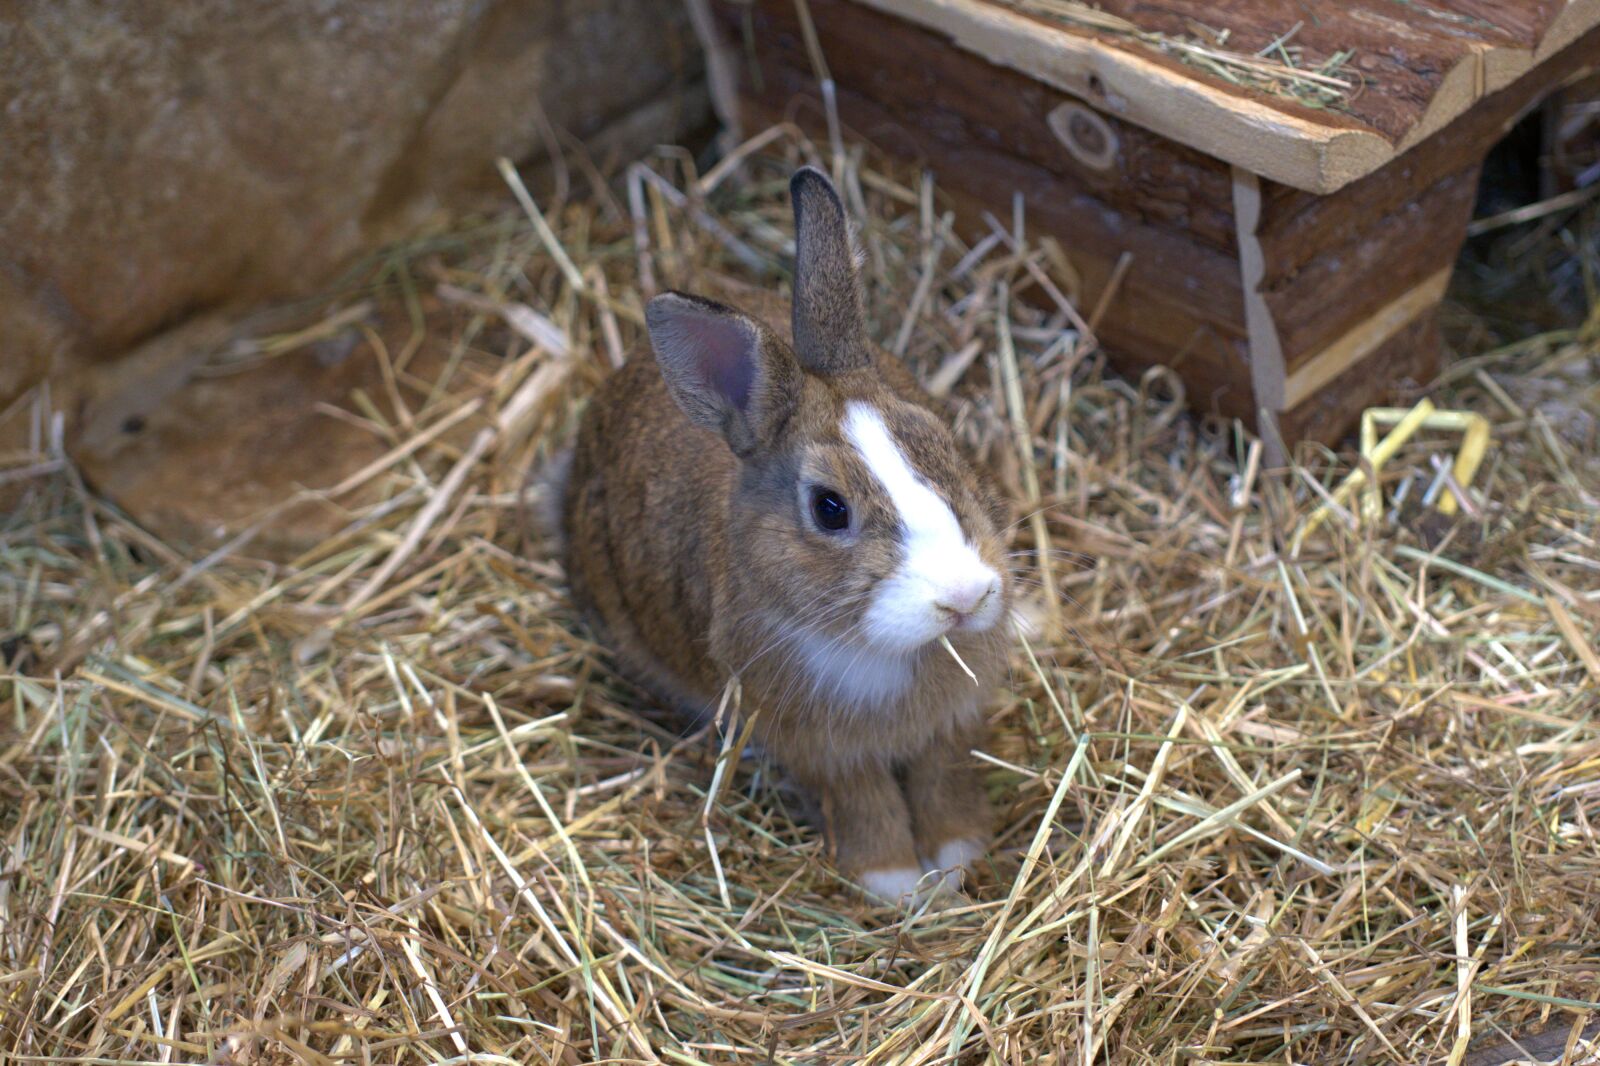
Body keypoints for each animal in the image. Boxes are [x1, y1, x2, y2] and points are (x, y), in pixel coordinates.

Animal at [560, 168, 1011, 902]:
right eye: (829, 509)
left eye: (943, 441)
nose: (965, 598)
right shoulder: (821, 750)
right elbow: (865, 803)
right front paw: (896, 883)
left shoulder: (946, 729)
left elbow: (942, 783)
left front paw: (957, 859)